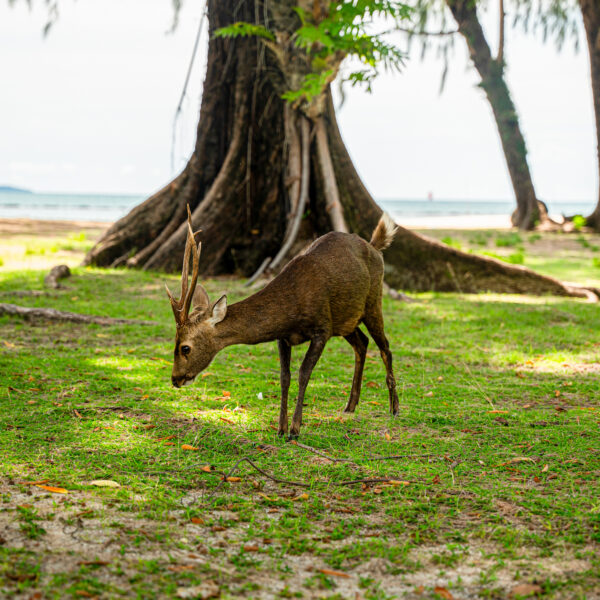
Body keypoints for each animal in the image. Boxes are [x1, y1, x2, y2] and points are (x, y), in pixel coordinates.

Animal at [166, 209, 398, 438]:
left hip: (373, 301)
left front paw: (295, 429)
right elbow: (284, 377)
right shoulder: (283, 337)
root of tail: (375, 247)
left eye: (185, 348)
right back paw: (350, 405)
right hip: (345, 321)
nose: (175, 379)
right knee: (362, 343)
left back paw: (394, 407)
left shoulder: (322, 328)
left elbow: (303, 373)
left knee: (385, 348)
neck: (291, 311)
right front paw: (281, 428)